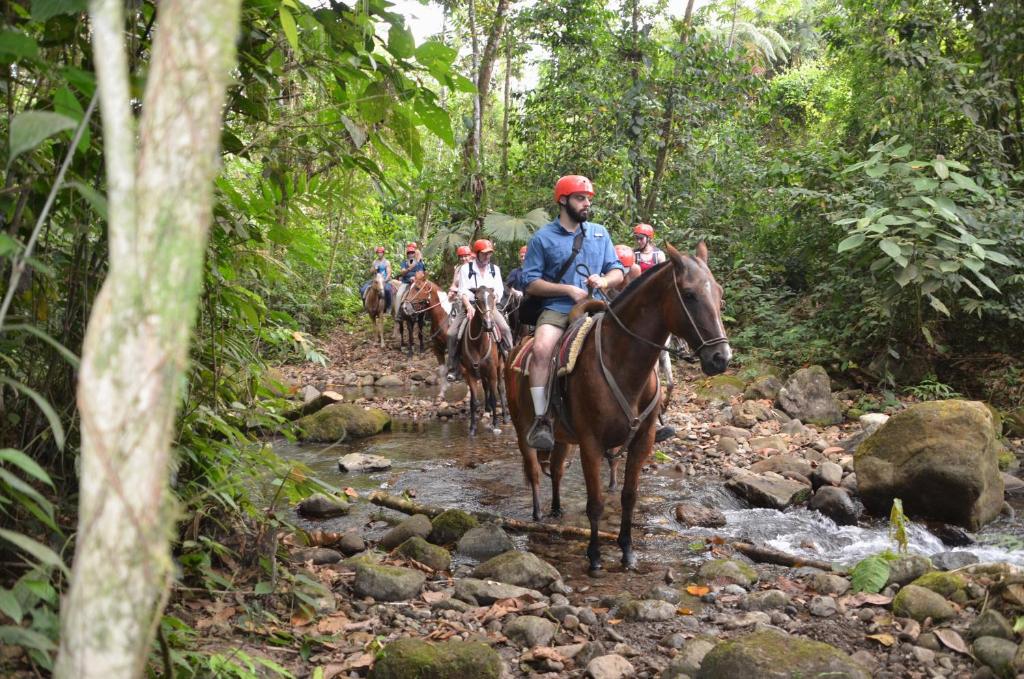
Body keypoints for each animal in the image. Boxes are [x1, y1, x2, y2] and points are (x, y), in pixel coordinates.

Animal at [462, 284, 509, 436]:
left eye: (493, 297)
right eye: (476, 298)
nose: (488, 324)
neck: (478, 344)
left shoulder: (492, 371)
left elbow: (494, 397)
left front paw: (495, 424)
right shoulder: (469, 373)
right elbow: (474, 401)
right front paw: (472, 428)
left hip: (500, 367)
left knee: (500, 388)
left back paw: (505, 416)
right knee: (485, 386)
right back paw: (487, 411)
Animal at [501, 244, 729, 573]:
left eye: (719, 292)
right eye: (688, 294)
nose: (721, 357)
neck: (621, 365)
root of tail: (518, 347)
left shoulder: (641, 441)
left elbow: (628, 497)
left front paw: (627, 551)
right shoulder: (591, 444)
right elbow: (595, 502)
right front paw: (595, 556)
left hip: (562, 437)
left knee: (556, 470)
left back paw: (556, 510)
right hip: (522, 427)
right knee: (533, 471)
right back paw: (537, 514)